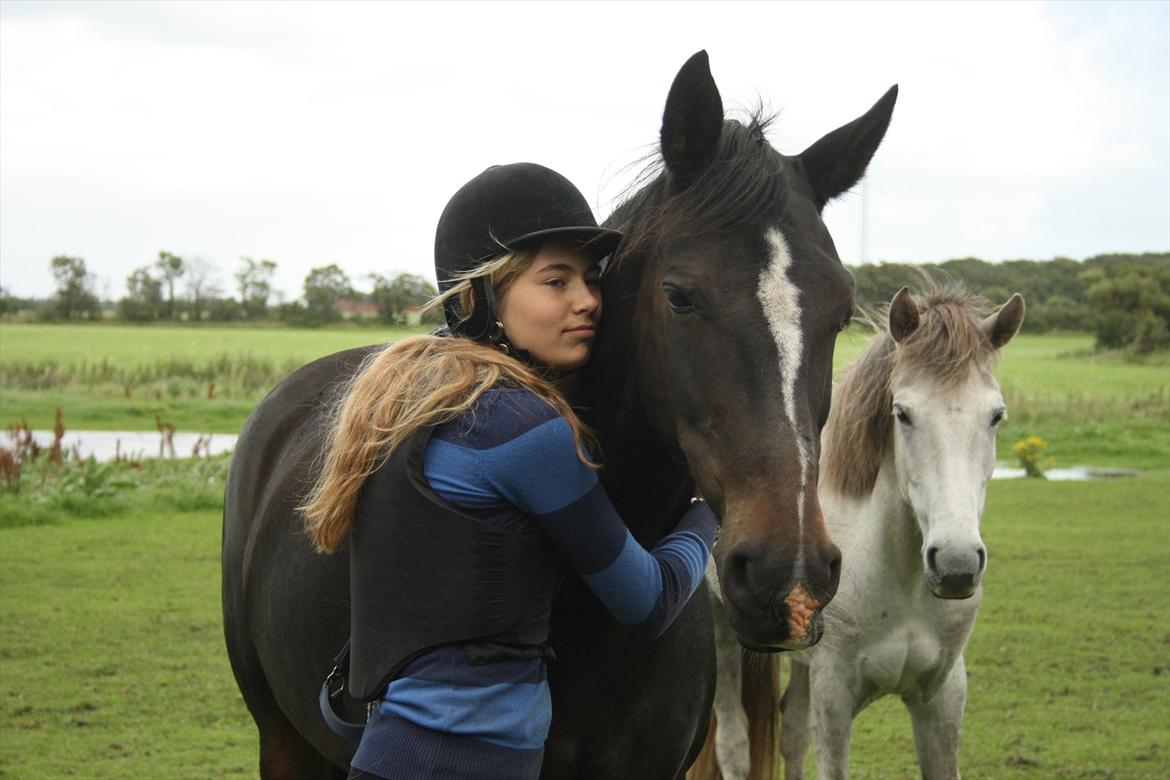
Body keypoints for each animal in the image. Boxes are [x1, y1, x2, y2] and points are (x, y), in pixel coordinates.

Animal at [702, 284, 1025, 780]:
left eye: (996, 415)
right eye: (903, 413)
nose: (956, 565)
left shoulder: (942, 698)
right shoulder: (835, 698)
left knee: (792, 732)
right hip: (723, 630)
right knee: (734, 743)